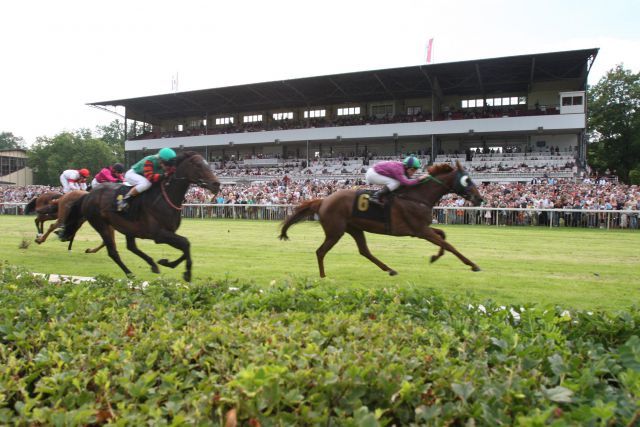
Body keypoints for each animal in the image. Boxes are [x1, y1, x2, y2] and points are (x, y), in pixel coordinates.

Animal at [58, 152, 221, 282]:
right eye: (198, 166)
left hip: (127, 227)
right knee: (113, 252)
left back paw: (152, 264)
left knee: (131, 247)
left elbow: (185, 245)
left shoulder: (169, 232)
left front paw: (166, 262)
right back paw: (130, 273)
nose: (217, 184)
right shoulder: (159, 234)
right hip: (101, 224)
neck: (165, 197)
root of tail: (88, 195)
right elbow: (185, 243)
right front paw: (186, 273)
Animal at [278, 160, 482, 278]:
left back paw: (390, 269)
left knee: (364, 251)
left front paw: (434, 257)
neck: (417, 197)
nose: (480, 199)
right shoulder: (420, 230)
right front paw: (473, 265)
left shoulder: (422, 228)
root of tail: (323, 200)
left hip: (354, 228)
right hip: (335, 231)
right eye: (467, 180)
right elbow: (449, 244)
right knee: (320, 251)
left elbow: (443, 236)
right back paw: (322, 276)